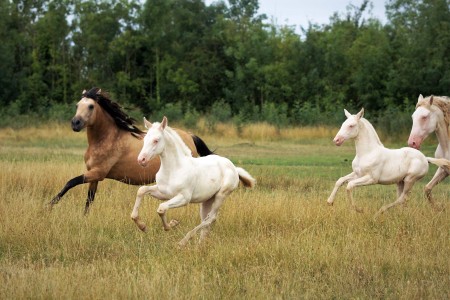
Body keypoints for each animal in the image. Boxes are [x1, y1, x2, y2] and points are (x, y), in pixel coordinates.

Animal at [132, 116, 255, 245]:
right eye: (144, 139)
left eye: (156, 140)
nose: (141, 160)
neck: (174, 169)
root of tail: (234, 168)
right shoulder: (163, 193)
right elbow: (142, 190)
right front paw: (142, 226)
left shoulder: (184, 198)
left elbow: (161, 208)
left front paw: (171, 224)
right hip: (207, 200)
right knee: (206, 220)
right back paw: (200, 245)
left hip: (221, 195)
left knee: (211, 219)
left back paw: (183, 242)